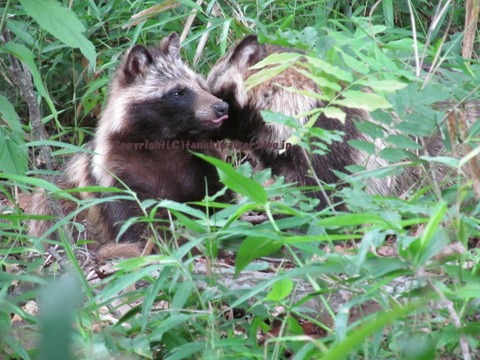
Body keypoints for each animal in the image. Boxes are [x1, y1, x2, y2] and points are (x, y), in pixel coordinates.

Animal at [28, 33, 231, 256]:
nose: (222, 106)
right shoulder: (113, 175)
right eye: (178, 92)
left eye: (199, 84)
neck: (166, 141)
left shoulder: (202, 161)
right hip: (53, 206)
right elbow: (133, 223)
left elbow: (219, 199)